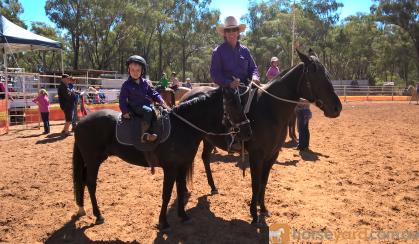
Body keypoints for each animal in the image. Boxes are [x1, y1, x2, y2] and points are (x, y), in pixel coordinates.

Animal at [71, 86, 253, 231]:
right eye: (233, 104)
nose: (247, 131)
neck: (182, 128)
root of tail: (80, 122)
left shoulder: (181, 166)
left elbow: (179, 190)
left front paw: (183, 216)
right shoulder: (170, 168)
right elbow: (166, 193)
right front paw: (163, 222)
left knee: (85, 182)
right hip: (93, 161)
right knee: (91, 184)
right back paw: (98, 215)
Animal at [180, 49, 342, 225]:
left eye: (327, 74)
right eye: (315, 74)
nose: (337, 108)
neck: (270, 109)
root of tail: (187, 95)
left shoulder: (272, 155)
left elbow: (264, 182)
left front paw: (262, 208)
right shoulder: (256, 155)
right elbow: (256, 182)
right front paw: (254, 213)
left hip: (209, 140)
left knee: (205, 158)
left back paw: (213, 186)